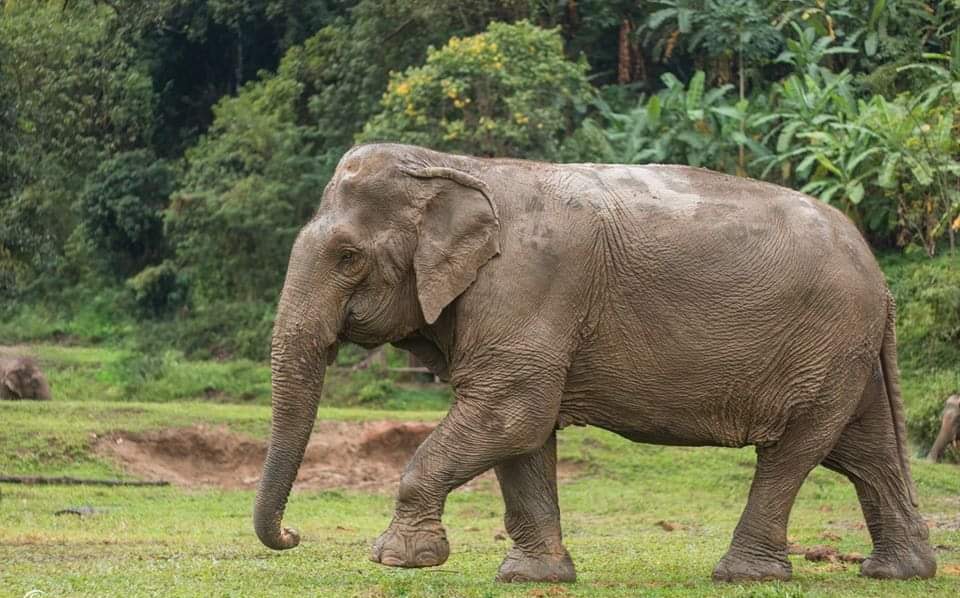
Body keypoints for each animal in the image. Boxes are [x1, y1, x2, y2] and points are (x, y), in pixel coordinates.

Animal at [253, 145, 936, 584]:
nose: (293, 536)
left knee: (795, 451)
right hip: (845, 352)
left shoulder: (531, 284)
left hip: (826, 343)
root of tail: (881, 279)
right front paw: (533, 578)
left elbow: (513, 413)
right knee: (863, 449)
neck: (460, 167)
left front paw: (399, 560)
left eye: (347, 256)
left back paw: (744, 576)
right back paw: (901, 572)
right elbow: (524, 436)